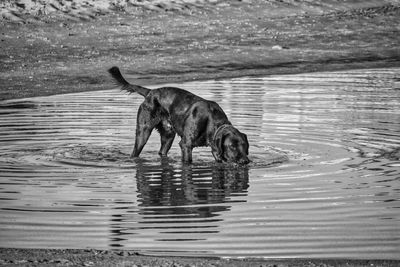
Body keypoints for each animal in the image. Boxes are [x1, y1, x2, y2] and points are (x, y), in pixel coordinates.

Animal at [108, 66, 248, 164]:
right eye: (232, 146)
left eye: (244, 145)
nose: (245, 161)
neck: (211, 121)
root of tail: (150, 92)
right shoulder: (186, 145)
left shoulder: (216, 151)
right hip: (143, 132)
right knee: (135, 151)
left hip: (168, 135)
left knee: (162, 152)